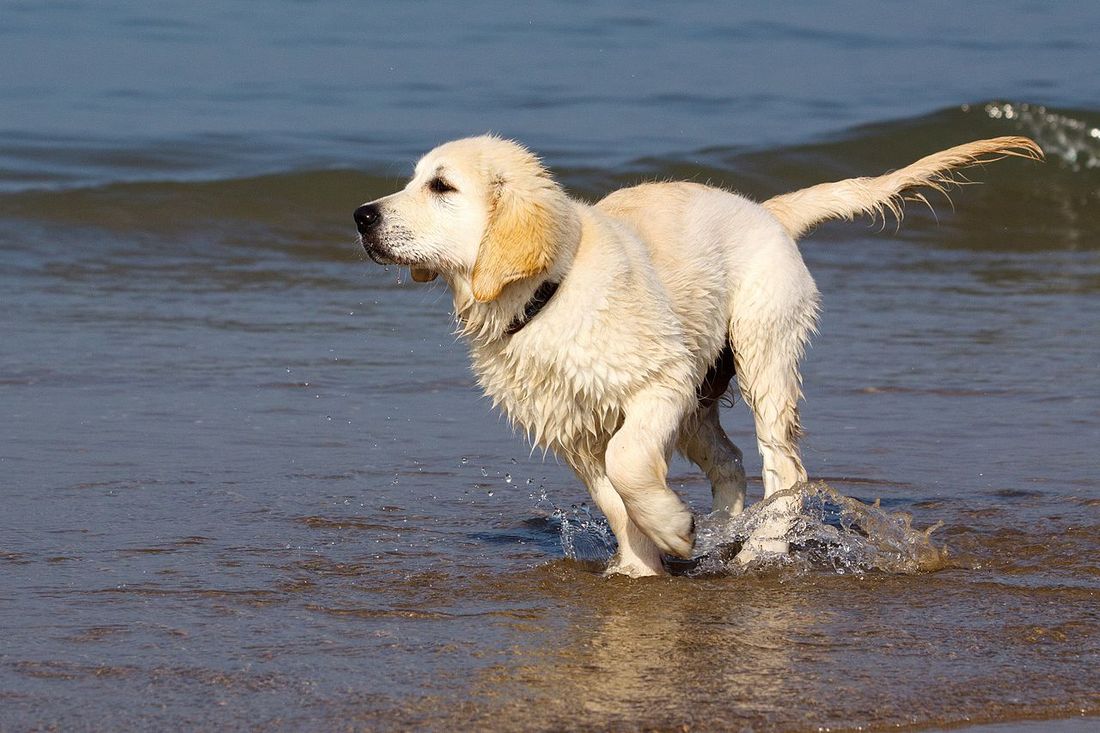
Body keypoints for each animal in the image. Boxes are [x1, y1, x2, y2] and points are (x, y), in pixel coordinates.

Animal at [354, 134, 1038, 572]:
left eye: (442, 186)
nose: (361, 215)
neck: (548, 293)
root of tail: (766, 210)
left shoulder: (660, 379)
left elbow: (628, 463)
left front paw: (671, 531)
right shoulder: (569, 423)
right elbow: (612, 497)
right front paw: (643, 563)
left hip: (760, 347)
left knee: (785, 466)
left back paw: (761, 546)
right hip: (701, 395)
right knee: (731, 463)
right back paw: (725, 530)